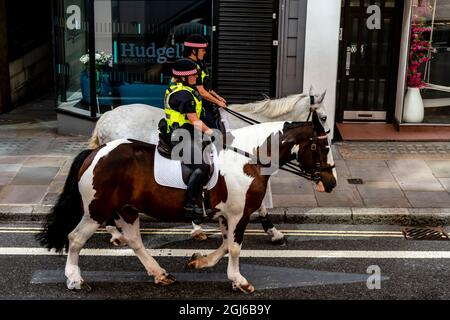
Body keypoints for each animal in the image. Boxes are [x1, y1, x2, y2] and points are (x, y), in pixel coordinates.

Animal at [37, 114, 336, 294]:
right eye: (322, 148)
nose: (331, 183)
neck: (248, 157)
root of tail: (96, 152)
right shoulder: (239, 213)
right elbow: (235, 247)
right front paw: (239, 280)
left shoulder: (227, 214)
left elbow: (226, 244)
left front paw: (200, 262)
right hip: (97, 210)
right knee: (75, 238)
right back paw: (75, 279)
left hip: (126, 209)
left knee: (135, 241)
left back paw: (159, 273)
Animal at [87, 87, 334, 242]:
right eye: (322, 117)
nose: (328, 138)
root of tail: (106, 117)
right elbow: (260, 203)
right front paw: (272, 231)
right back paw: (114, 232)